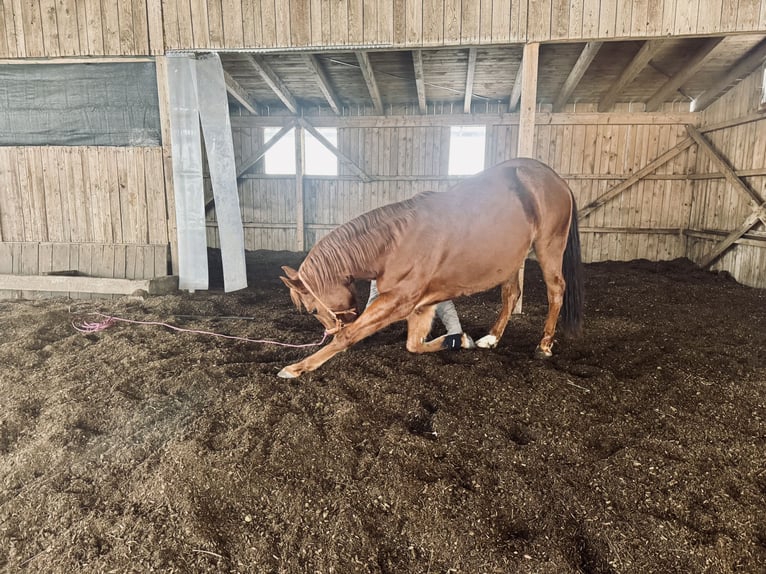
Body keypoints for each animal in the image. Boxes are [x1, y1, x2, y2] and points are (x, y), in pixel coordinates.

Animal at [278, 158, 584, 378]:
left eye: (312, 310)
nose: (328, 332)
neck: (394, 242)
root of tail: (556, 180)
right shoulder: (422, 305)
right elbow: (413, 345)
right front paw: (459, 340)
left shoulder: (400, 301)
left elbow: (350, 335)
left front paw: (296, 367)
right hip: (510, 259)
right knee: (510, 294)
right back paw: (491, 338)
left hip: (549, 246)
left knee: (556, 290)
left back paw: (544, 346)